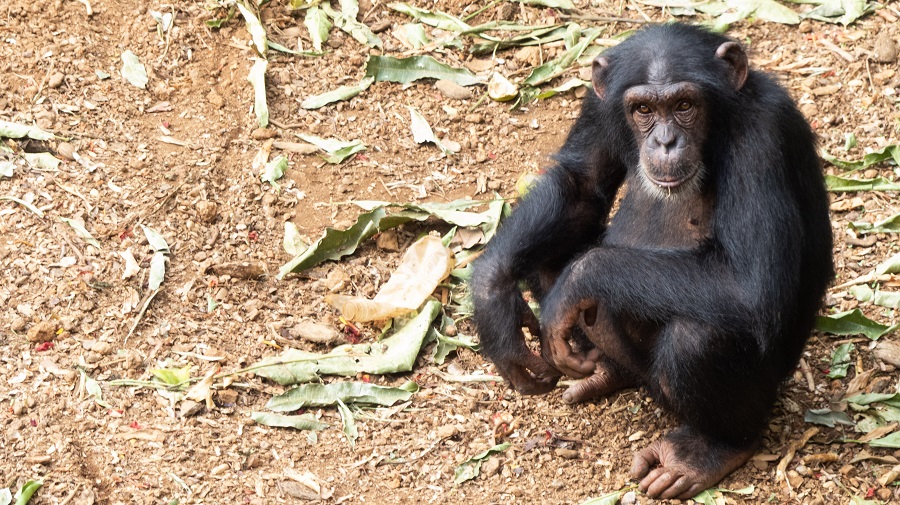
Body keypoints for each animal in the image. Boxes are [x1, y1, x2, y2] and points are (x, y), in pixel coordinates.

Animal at [474, 22, 832, 496]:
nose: (665, 140)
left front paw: (578, 279)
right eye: (642, 108)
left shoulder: (763, 136)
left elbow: (753, 285)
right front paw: (493, 302)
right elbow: (580, 185)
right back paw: (605, 371)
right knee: (548, 253)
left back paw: (708, 451)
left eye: (684, 105)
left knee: (696, 339)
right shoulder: (598, 105)